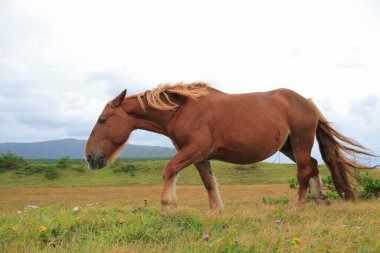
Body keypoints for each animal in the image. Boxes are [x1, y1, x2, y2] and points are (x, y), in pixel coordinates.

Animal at [85, 82, 374, 212]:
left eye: (102, 120)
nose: (89, 157)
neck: (182, 110)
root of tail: (308, 103)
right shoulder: (199, 155)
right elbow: (208, 183)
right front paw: (216, 211)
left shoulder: (194, 150)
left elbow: (169, 170)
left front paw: (167, 207)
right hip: (289, 146)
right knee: (313, 166)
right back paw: (320, 198)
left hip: (301, 141)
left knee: (304, 171)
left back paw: (297, 207)